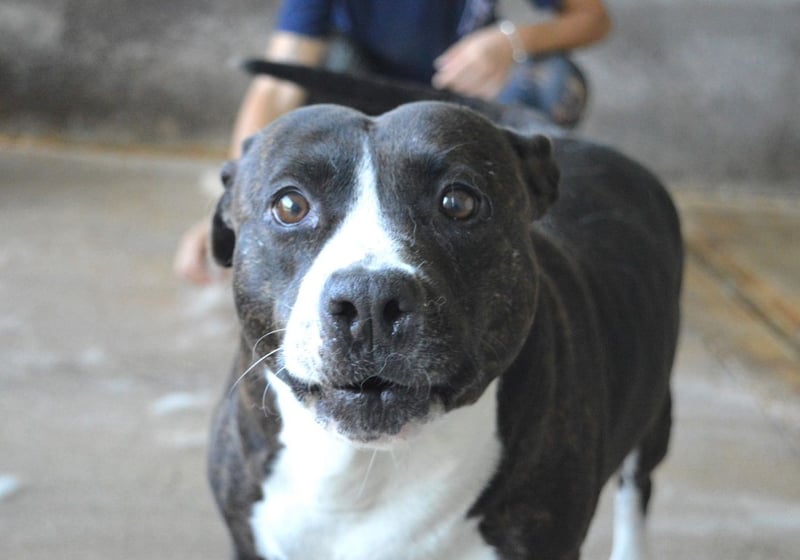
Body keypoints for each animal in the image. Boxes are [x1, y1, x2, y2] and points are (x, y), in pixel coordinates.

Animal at [207, 65, 683, 560]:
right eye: (290, 205)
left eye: (459, 203)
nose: (370, 300)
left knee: (638, 486)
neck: (367, 467)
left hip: (656, 411)